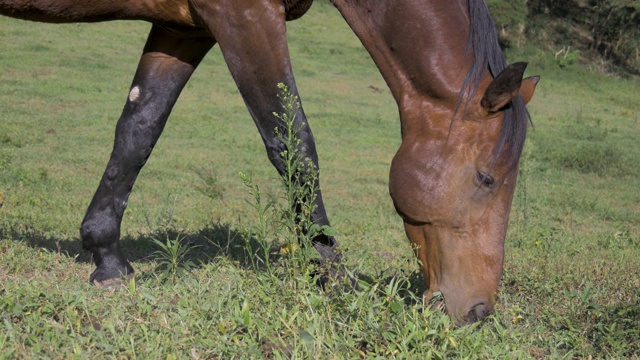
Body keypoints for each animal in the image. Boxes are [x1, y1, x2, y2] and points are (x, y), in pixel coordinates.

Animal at [0, 0, 536, 324]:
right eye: (487, 178)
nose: (477, 310)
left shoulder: (182, 26)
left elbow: (139, 130)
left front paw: (107, 258)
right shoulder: (245, 16)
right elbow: (293, 145)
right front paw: (334, 280)